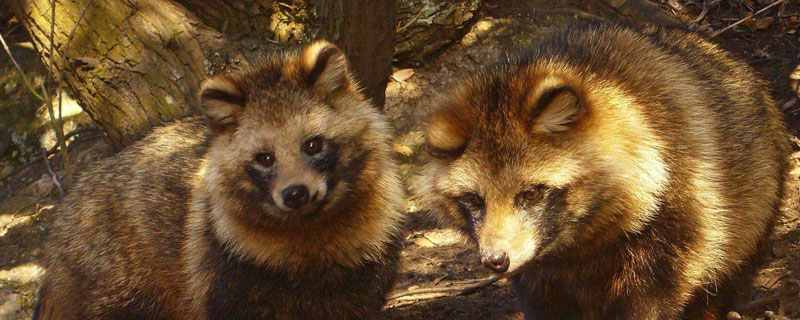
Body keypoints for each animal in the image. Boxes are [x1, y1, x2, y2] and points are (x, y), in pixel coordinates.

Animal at [31, 41, 406, 318]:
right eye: (265, 158)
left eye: (313, 145)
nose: (296, 194)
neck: (310, 226)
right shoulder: (226, 270)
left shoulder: (367, 265)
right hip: (113, 276)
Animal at [416, 21, 792, 318]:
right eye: (474, 200)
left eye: (532, 192)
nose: (496, 261)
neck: (578, 243)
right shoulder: (540, 273)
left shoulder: (678, 226)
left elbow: (650, 301)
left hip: (751, 213)